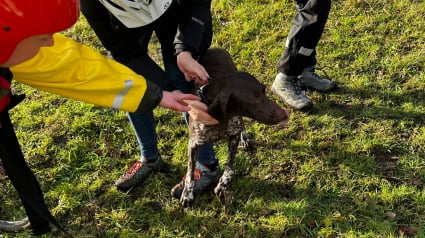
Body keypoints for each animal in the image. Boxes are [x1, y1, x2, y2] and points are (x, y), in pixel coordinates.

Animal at [177, 48, 290, 206]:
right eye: (254, 98)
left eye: (264, 90)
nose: (285, 114)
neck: (220, 120)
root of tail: (214, 48)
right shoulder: (193, 144)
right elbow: (190, 172)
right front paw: (188, 193)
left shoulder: (234, 134)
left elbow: (230, 170)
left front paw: (222, 184)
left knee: (242, 124)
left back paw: (245, 140)